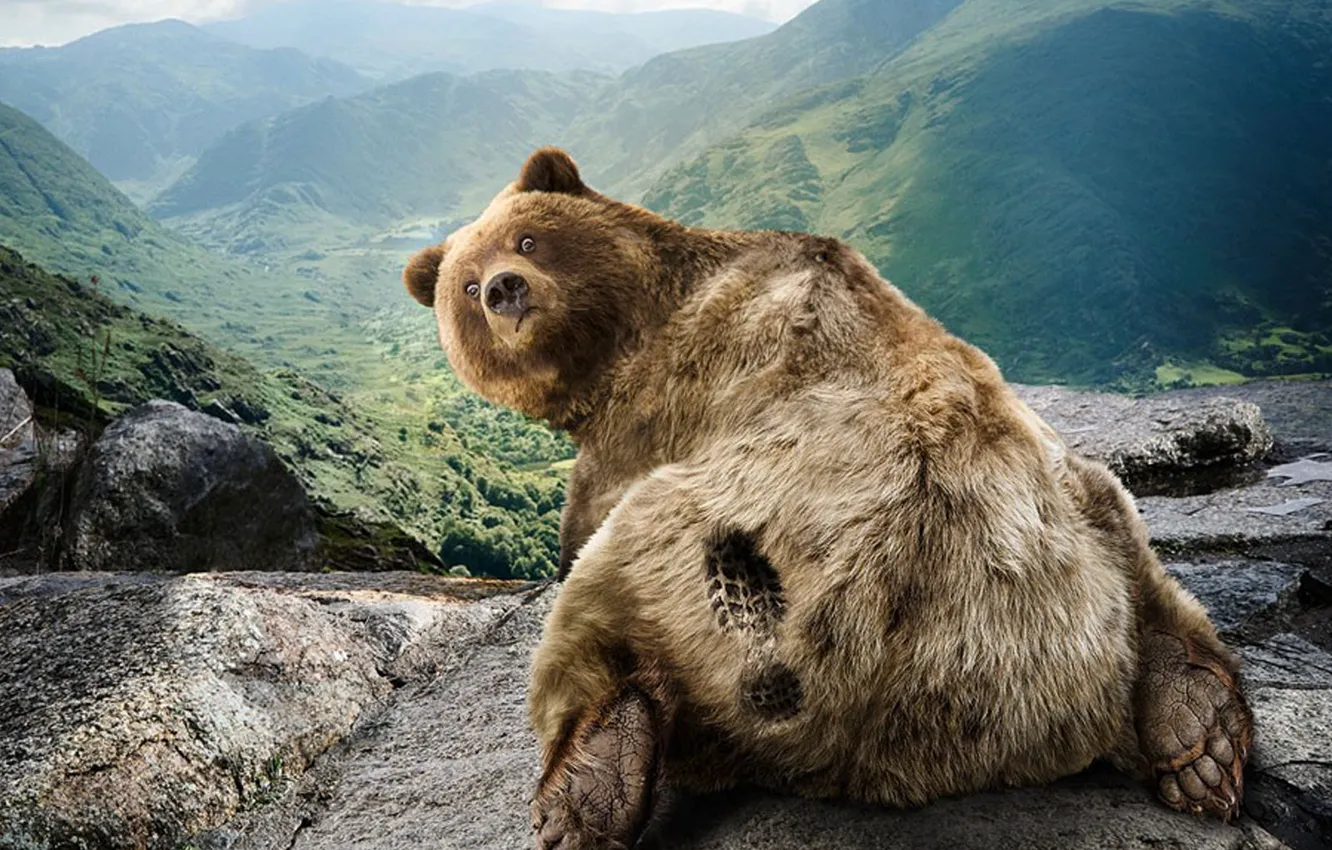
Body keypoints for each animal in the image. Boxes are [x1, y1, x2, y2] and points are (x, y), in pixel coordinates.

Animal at [403, 147, 1253, 849]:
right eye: (466, 286)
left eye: (526, 242)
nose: (504, 291)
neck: (630, 327)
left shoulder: (654, 411)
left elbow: (580, 528)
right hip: (1061, 521)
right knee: (1130, 538)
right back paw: (1198, 734)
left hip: (719, 555)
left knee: (601, 603)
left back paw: (586, 787)